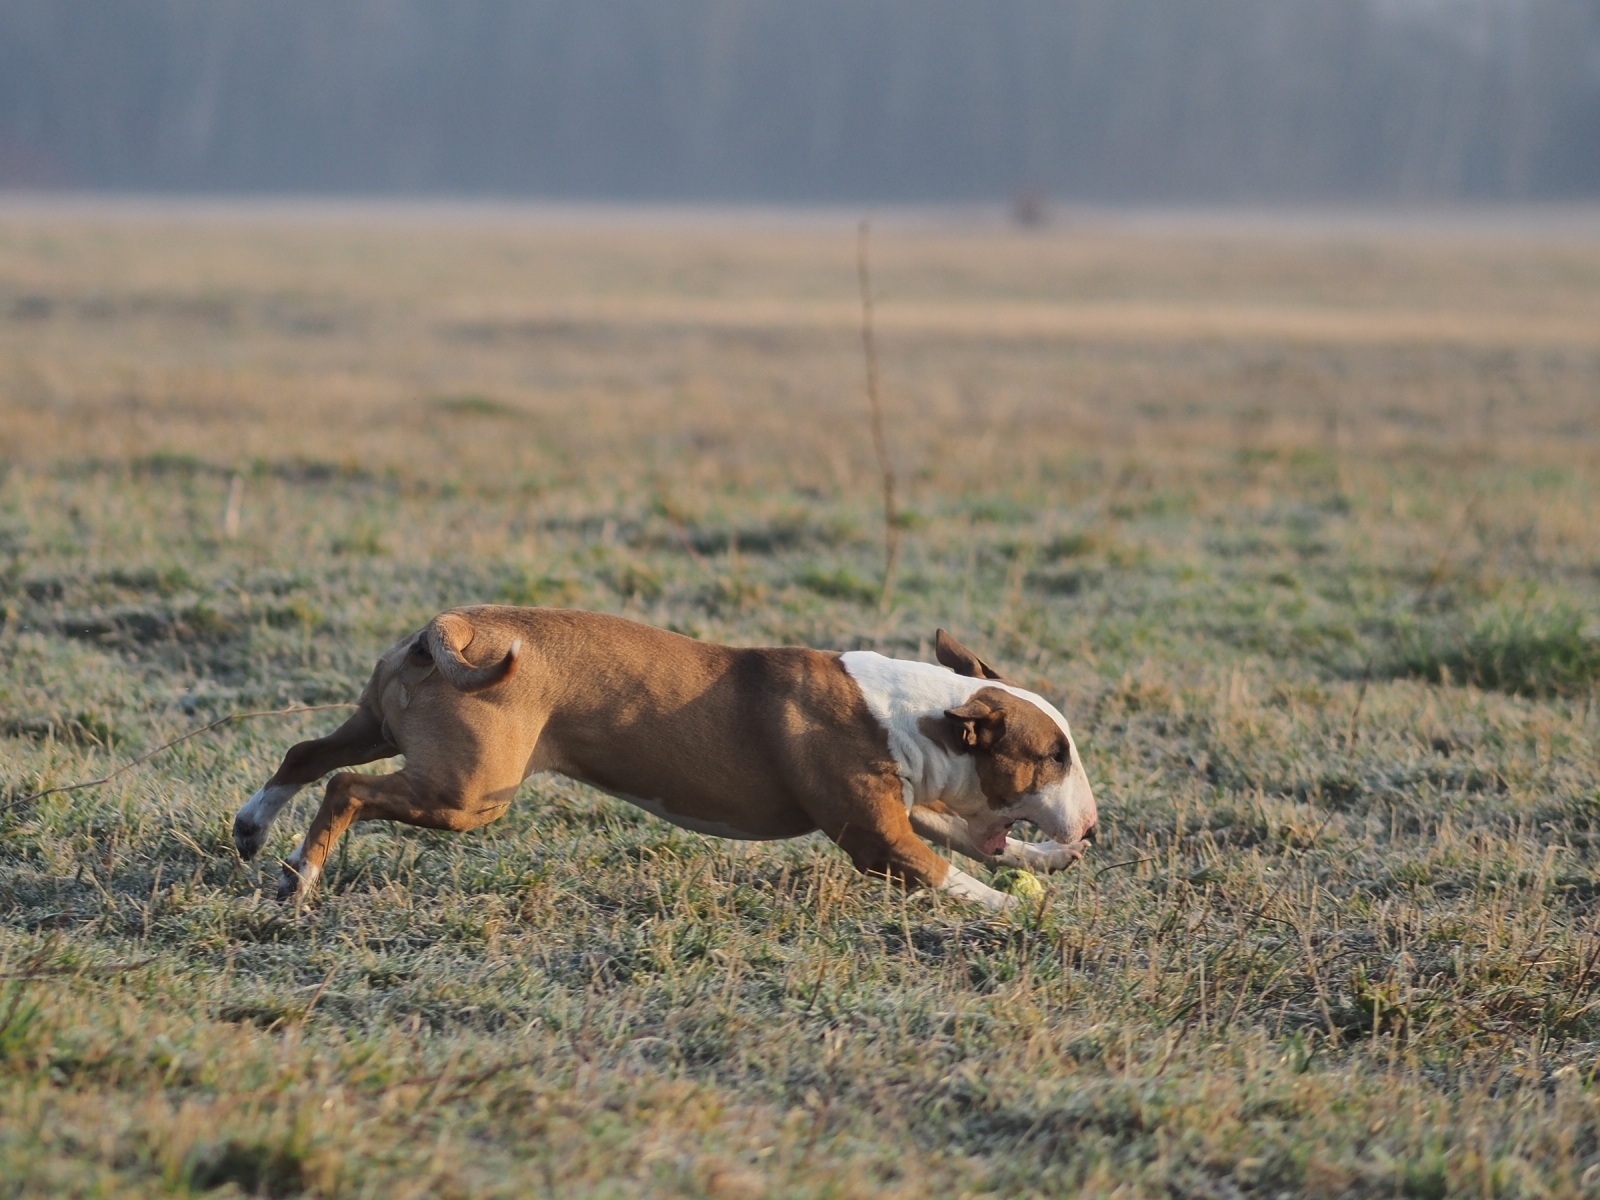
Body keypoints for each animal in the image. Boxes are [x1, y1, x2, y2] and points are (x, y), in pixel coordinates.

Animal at [233, 607, 1099, 910]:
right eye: (1053, 756)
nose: (1091, 828)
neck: (915, 715)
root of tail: (457, 626)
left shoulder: (907, 809)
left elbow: (974, 843)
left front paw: (1040, 863)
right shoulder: (877, 840)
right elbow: (946, 872)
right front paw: (1020, 909)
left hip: (383, 724)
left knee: (308, 753)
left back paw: (252, 829)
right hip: (468, 793)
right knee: (348, 788)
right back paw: (301, 875)